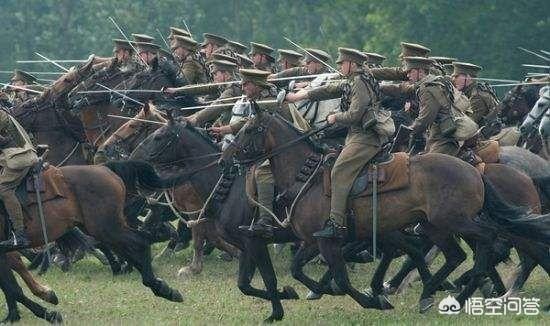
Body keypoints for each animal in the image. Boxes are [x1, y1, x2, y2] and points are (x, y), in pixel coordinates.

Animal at [0, 160, 187, 324]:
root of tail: (104, 168)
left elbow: (13, 289)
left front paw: (49, 314)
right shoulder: (4, 254)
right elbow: (11, 287)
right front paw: (35, 311)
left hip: (107, 228)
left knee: (139, 243)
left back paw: (160, 286)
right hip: (101, 229)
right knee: (130, 247)